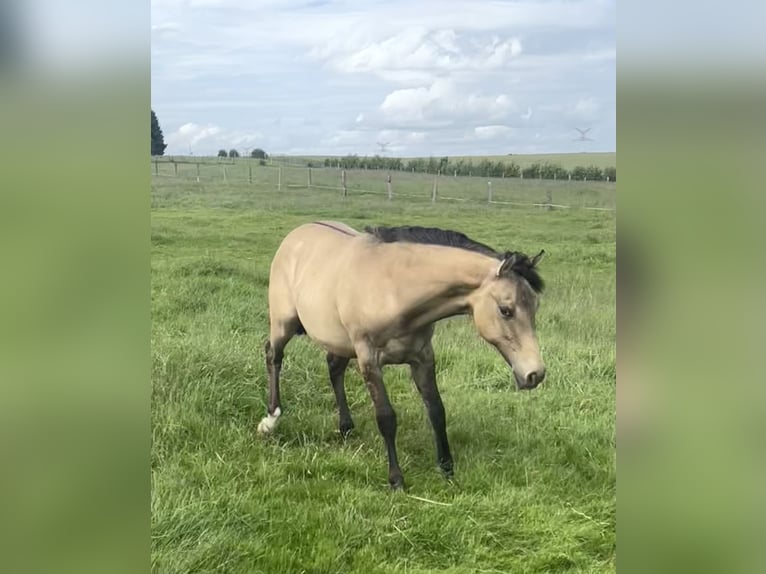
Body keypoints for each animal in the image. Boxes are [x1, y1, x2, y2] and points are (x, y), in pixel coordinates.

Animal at [257, 221, 546, 489]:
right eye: (506, 310)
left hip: (338, 340)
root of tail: (296, 234)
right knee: (274, 356)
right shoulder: (369, 361)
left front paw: (447, 469)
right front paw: (396, 480)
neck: (394, 289)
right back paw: (271, 419)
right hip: (283, 323)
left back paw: (346, 427)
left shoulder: (422, 358)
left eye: (535, 306)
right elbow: (386, 418)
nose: (535, 374)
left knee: (334, 368)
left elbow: (436, 410)